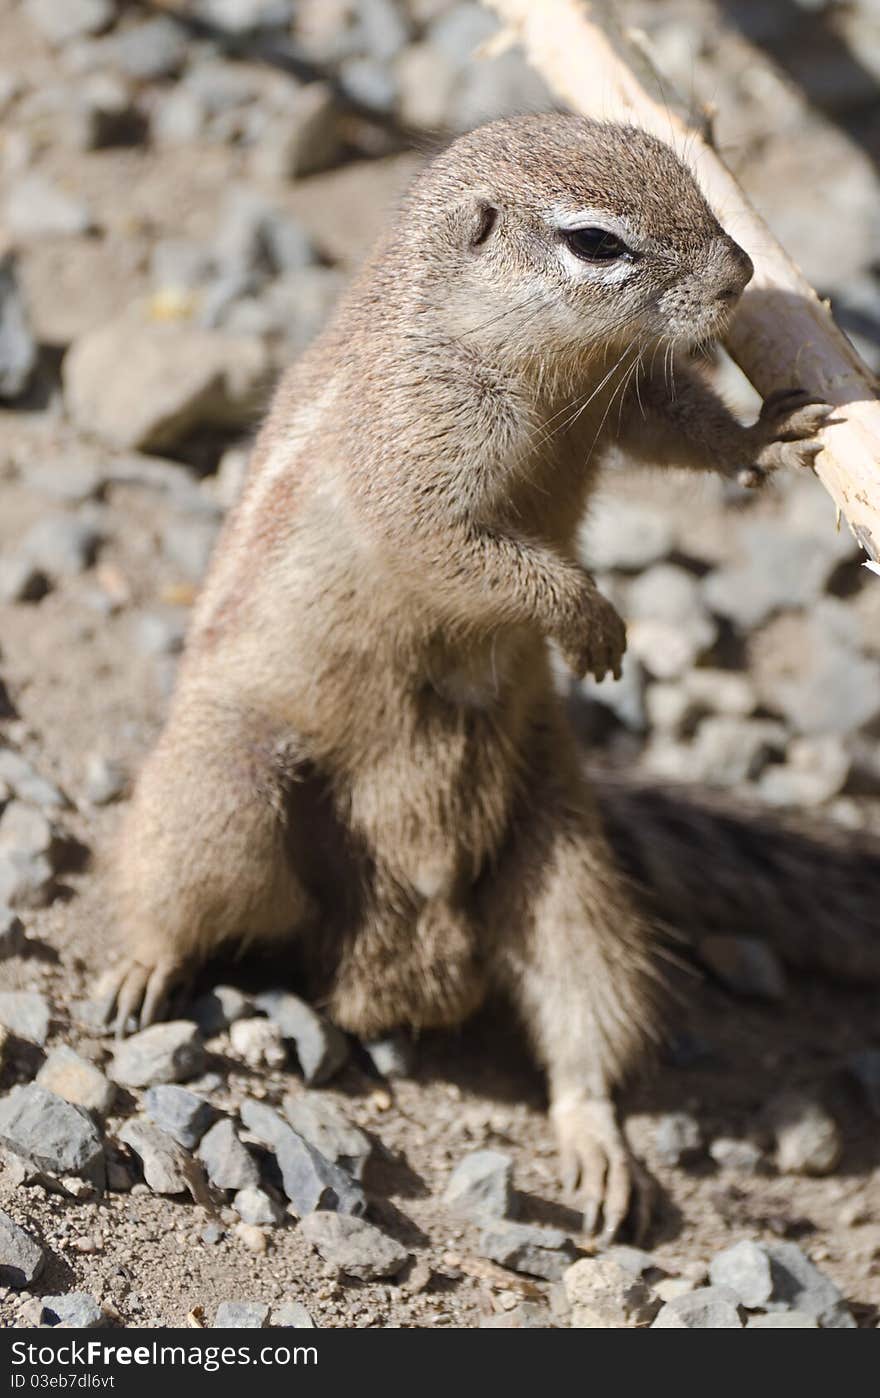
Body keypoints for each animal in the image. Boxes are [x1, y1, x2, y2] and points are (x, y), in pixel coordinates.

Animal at [102, 117, 828, 1235]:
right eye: (594, 242)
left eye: (690, 176)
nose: (742, 278)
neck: (537, 365)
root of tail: (395, 946)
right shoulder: (418, 457)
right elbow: (464, 555)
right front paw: (588, 618)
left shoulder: (623, 393)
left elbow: (681, 429)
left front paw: (768, 431)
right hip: (224, 788)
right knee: (176, 887)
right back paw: (141, 967)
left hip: (562, 854)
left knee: (584, 1013)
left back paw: (596, 1151)